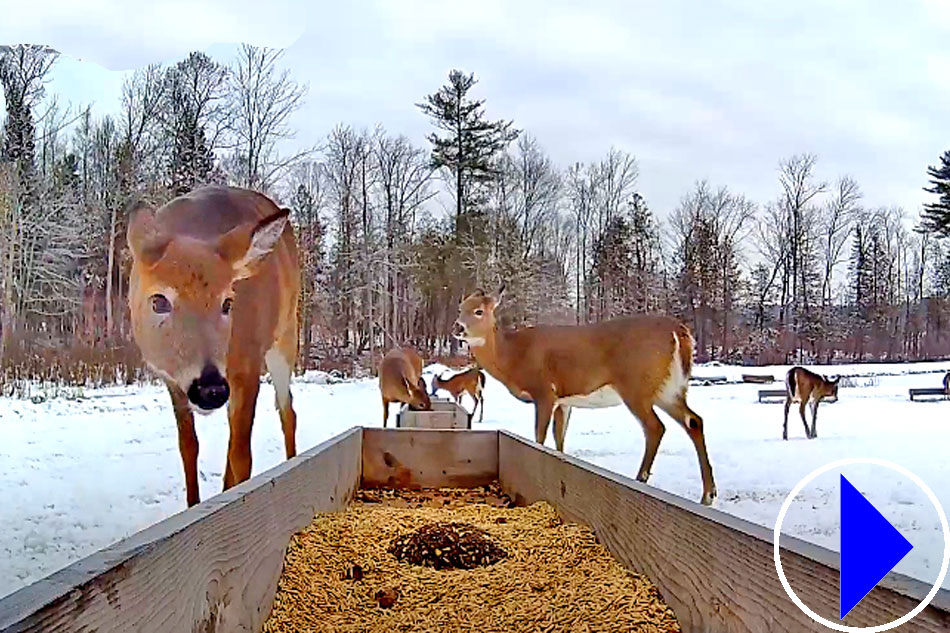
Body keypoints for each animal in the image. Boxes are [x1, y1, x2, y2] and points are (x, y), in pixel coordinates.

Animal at [127, 186, 300, 508]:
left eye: (228, 303)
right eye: (158, 301)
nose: (210, 389)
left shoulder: (248, 365)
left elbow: (242, 456)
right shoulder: (172, 379)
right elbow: (188, 446)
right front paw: (194, 505)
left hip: (286, 334)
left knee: (287, 411)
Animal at [453, 286, 717, 506]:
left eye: (478, 311)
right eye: (460, 308)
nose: (457, 327)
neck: (512, 356)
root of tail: (679, 331)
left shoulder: (544, 392)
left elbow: (539, 438)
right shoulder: (564, 401)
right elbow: (559, 440)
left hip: (636, 385)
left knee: (655, 428)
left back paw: (640, 480)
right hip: (669, 389)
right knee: (694, 421)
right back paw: (708, 494)